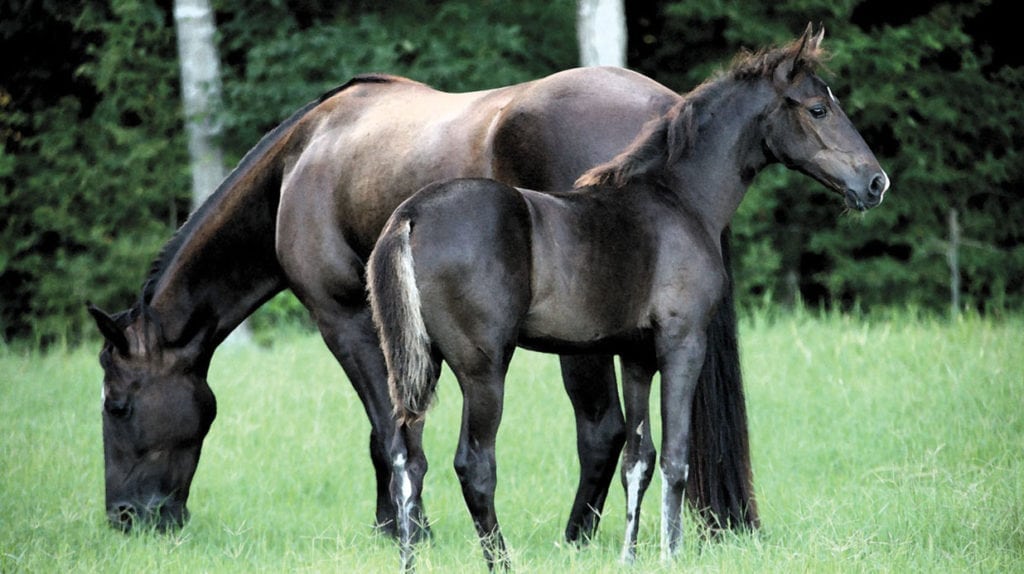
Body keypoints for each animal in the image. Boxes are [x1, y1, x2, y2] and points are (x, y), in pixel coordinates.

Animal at [86, 52, 761, 536]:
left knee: (602, 433)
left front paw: (401, 529)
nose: (126, 519)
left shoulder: (345, 319)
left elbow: (388, 433)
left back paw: (574, 540)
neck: (300, 162)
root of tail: (667, 107)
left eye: (116, 405)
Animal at [368, 25, 888, 568]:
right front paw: (670, 555)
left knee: (408, 459)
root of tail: (411, 215)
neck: (679, 200)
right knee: (474, 464)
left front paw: (629, 556)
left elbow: (639, 460)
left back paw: (409, 561)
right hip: (482, 368)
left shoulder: (636, 356)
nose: (876, 182)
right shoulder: (683, 344)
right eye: (818, 108)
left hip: (418, 364)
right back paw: (502, 562)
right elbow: (676, 457)